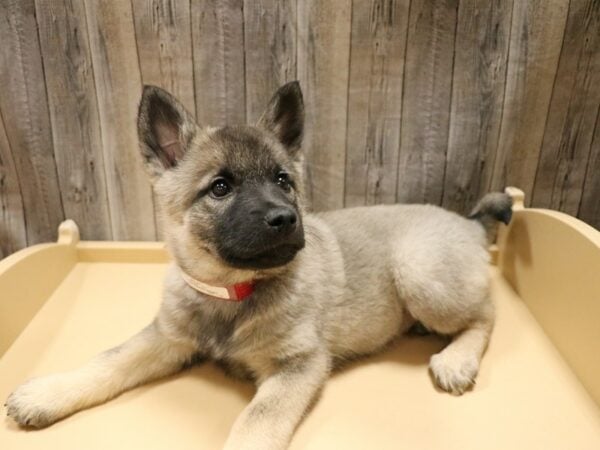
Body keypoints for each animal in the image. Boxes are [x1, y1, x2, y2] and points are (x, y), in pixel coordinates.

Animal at [4, 81, 510, 450]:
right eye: (220, 187)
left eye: (283, 180)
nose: (285, 219)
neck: (232, 292)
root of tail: (467, 223)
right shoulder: (166, 339)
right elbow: (108, 360)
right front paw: (48, 393)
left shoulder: (298, 366)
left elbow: (255, 423)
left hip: (419, 272)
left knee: (486, 314)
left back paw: (456, 358)